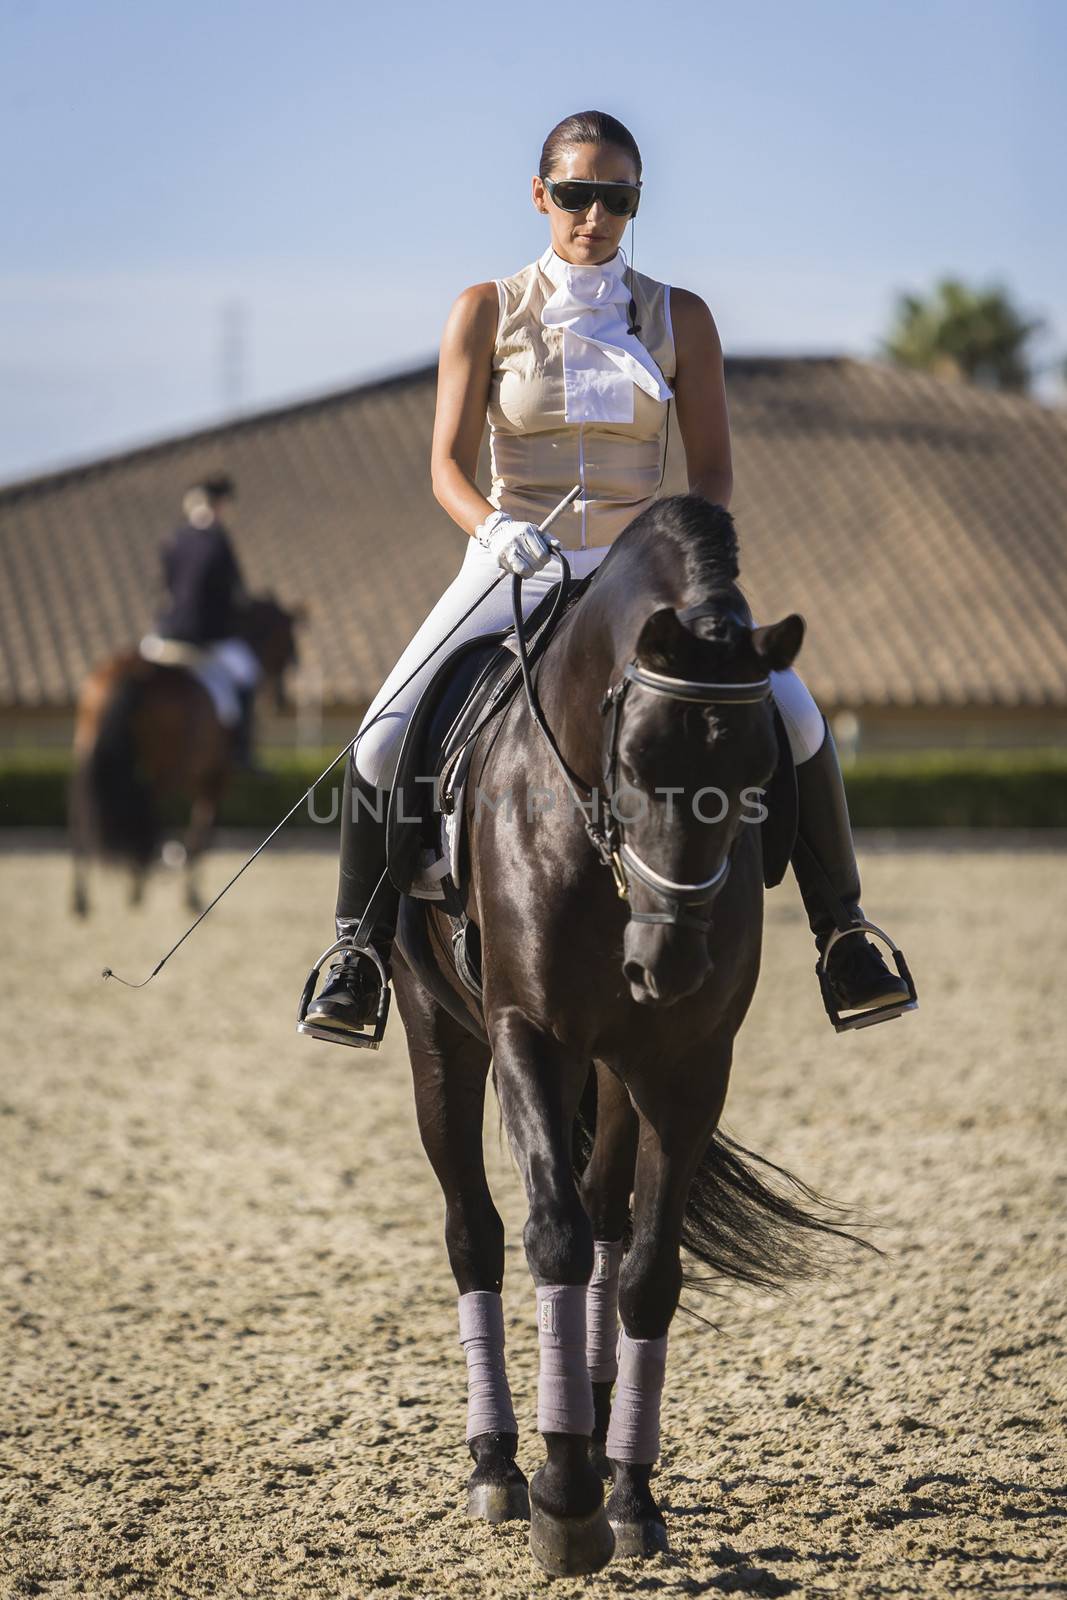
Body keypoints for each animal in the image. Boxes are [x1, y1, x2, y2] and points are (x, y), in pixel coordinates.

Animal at [69, 592, 300, 921]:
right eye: (288, 641)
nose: (280, 700)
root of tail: (130, 670)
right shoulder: (215, 779)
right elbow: (202, 832)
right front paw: (192, 896)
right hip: (165, 767)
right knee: (142, 805)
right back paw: (136, 883)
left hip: (88, 758)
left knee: (82, 814)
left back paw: (82, 898)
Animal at [388, 499, 863, 1574]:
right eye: (640, 761)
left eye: (759, 772)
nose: (668, 965)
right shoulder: (526, 1034)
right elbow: (551, 1239)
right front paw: (564, 1502)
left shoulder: (686, 1065)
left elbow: (646, 1270)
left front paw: (628, 1492)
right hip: (441, 1036)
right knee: (474, 1231)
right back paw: (500, 1461)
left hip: (613, 1072)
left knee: (607, 1215)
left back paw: (596, 1420)